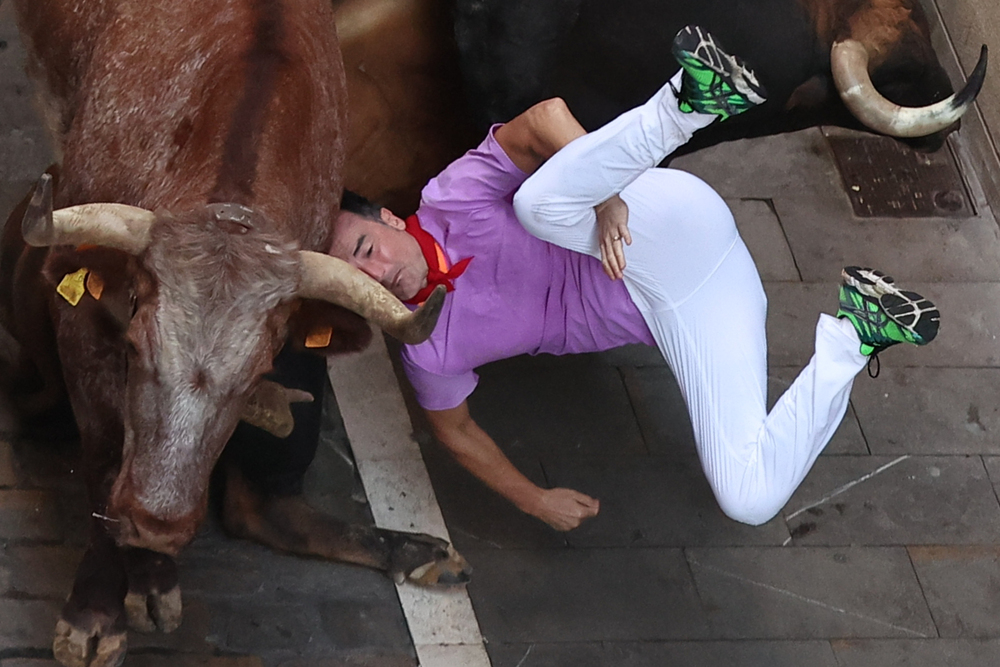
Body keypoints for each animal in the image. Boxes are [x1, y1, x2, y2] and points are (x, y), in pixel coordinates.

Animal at [0, 1, 468, 667]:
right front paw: (95, 610)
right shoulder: (83, 323)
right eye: (135, 343)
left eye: (258, 373)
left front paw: (152, 576)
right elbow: (104, 454)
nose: (158, 523)